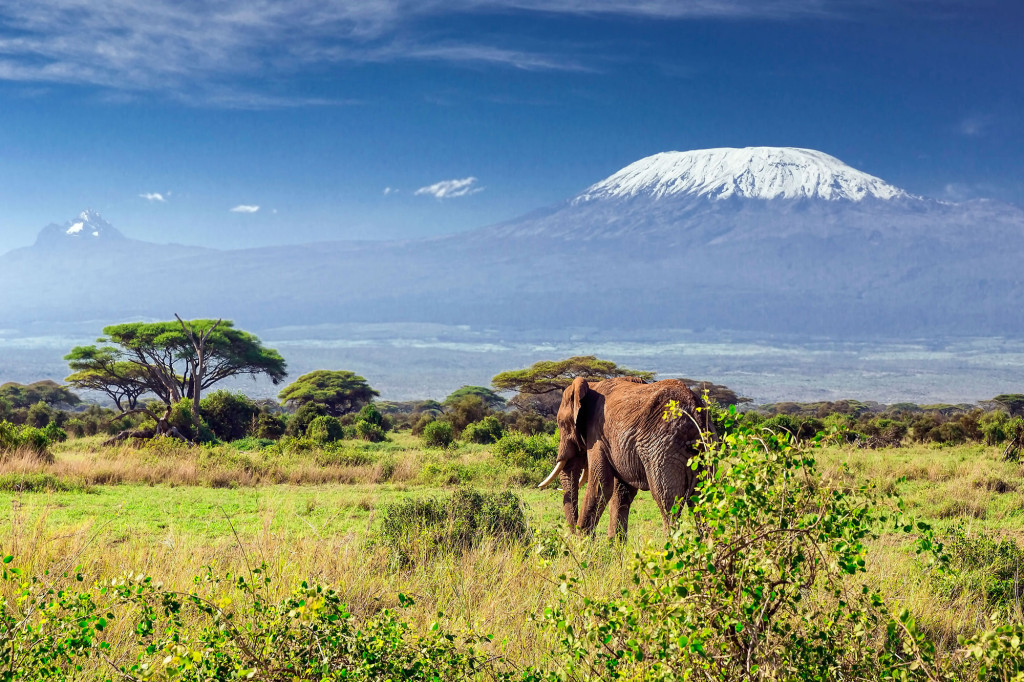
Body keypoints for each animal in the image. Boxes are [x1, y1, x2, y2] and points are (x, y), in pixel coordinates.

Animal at [536, 372, 712, 536]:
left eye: (561, 424)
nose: (572, 534)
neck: (592, 386)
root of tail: (695, 415)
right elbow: (622, 492)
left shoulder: (598, 436)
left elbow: (601, 485)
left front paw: (582, 543)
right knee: (705, 503)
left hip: (663, 452)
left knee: (668, 504)